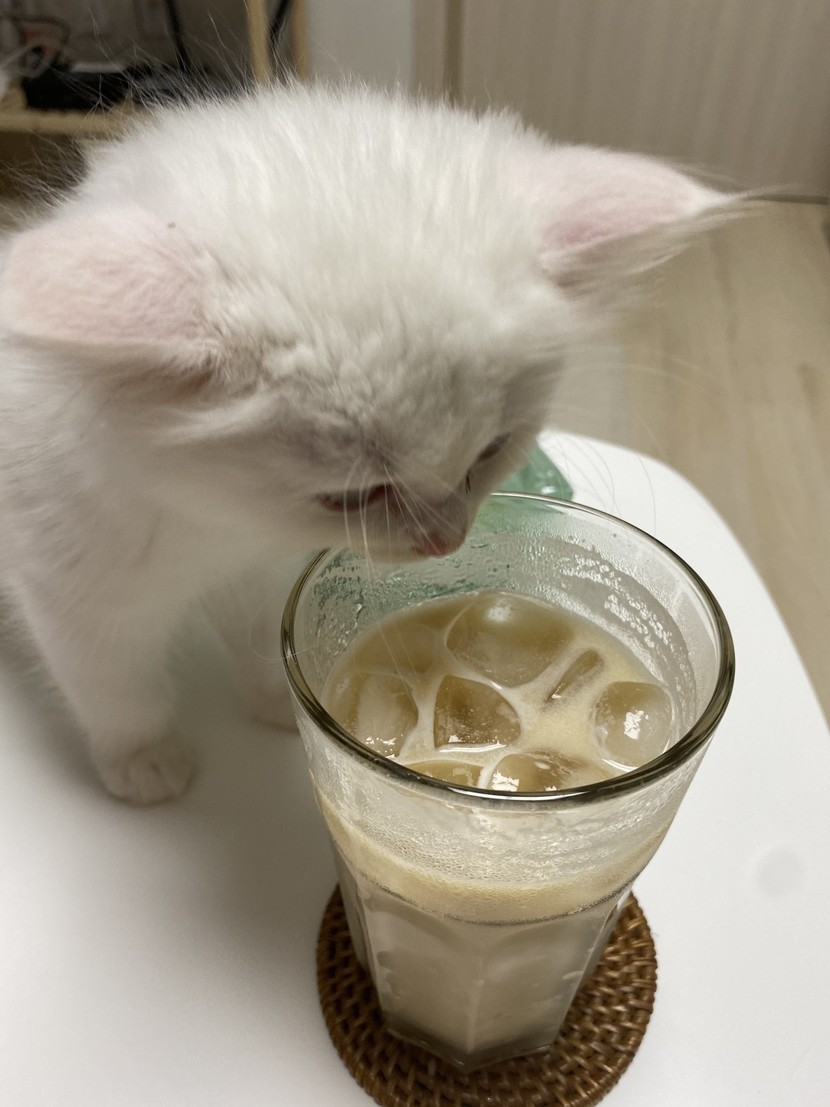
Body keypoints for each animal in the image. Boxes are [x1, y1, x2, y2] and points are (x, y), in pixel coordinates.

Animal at [0, 82, 730, 805]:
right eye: (350, 497)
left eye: (491, 451)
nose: (445, 541)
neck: (211, 522)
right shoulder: (76, 591)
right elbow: (116, 688)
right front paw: (142, 758)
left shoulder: (256, 569)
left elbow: (255, 636)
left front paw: (275, 697)